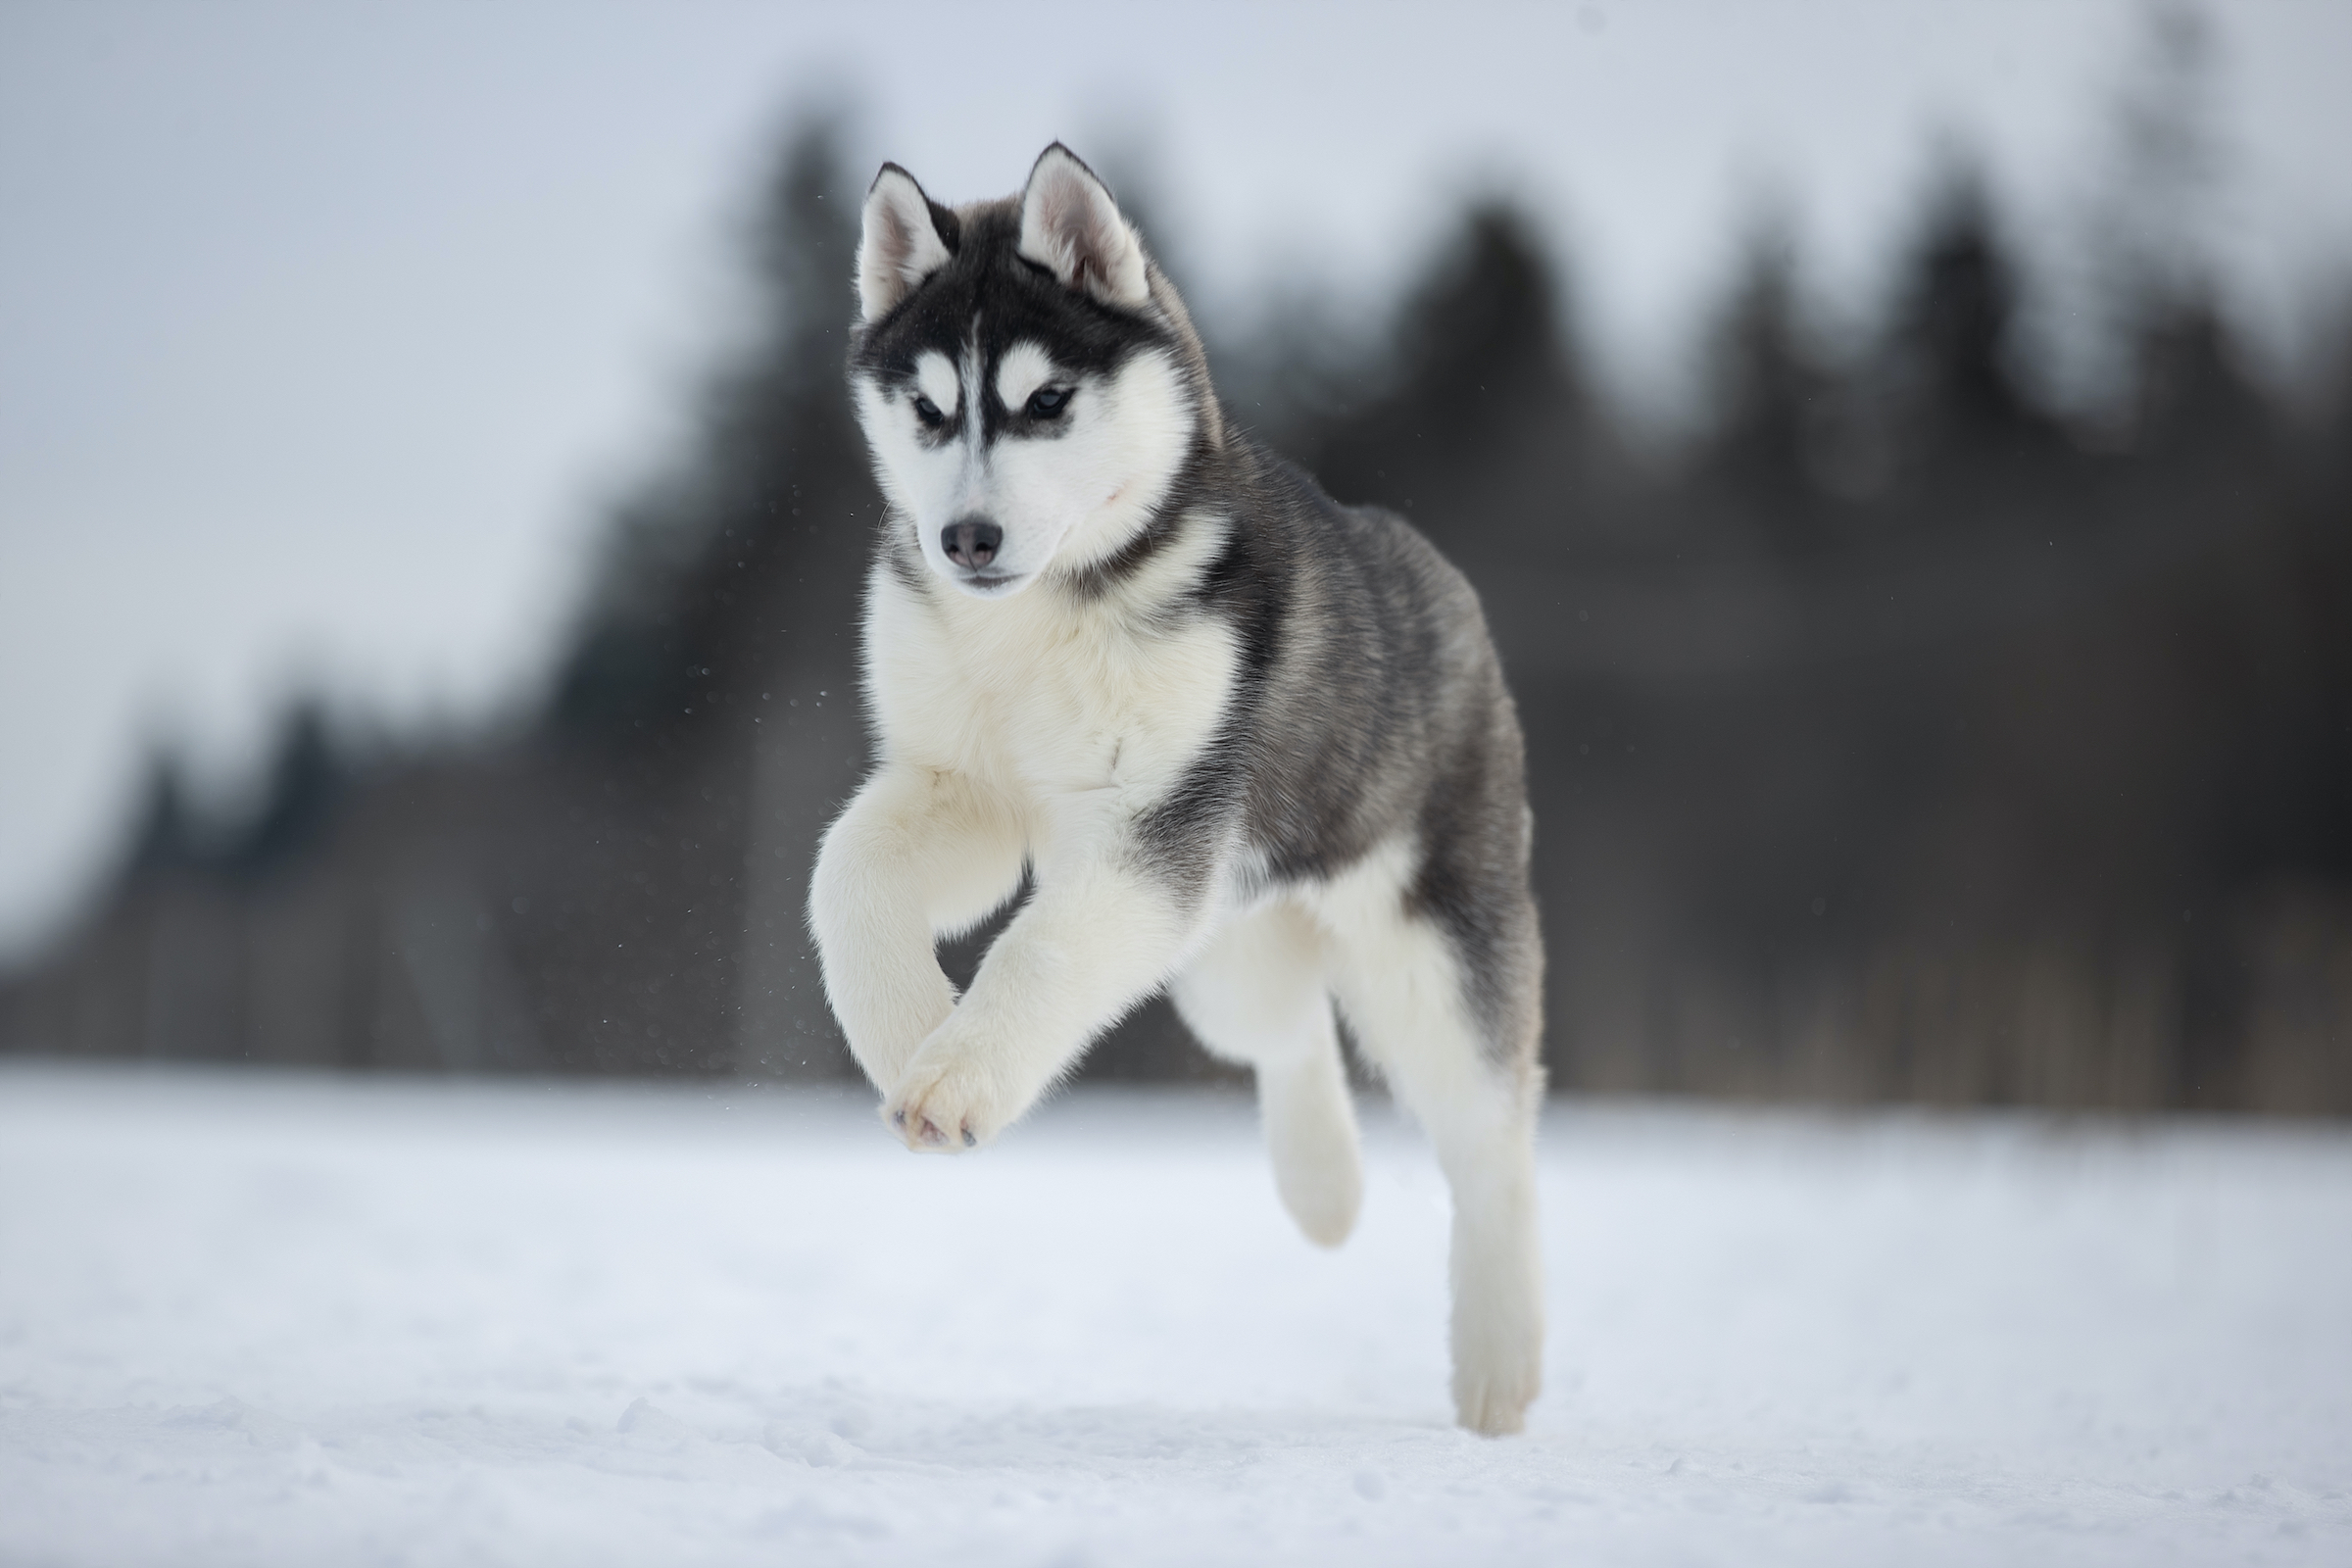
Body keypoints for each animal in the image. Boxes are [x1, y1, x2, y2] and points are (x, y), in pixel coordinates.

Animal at [818, 143, 1552, 1439]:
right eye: (931, 411)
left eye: (1045, 402)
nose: (965, 539)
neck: (1043, 618)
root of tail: (1440, 578)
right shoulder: (967, 788)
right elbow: (845, 873)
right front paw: (908, 1027)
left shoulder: (1154, 824)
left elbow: (1041, 951)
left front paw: (954, 1076)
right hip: (1223, 942)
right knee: (1289, 1032)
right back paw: (1324, 1188)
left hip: (1427, 942)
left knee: (1490, 1127)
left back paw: (1499, 1367)